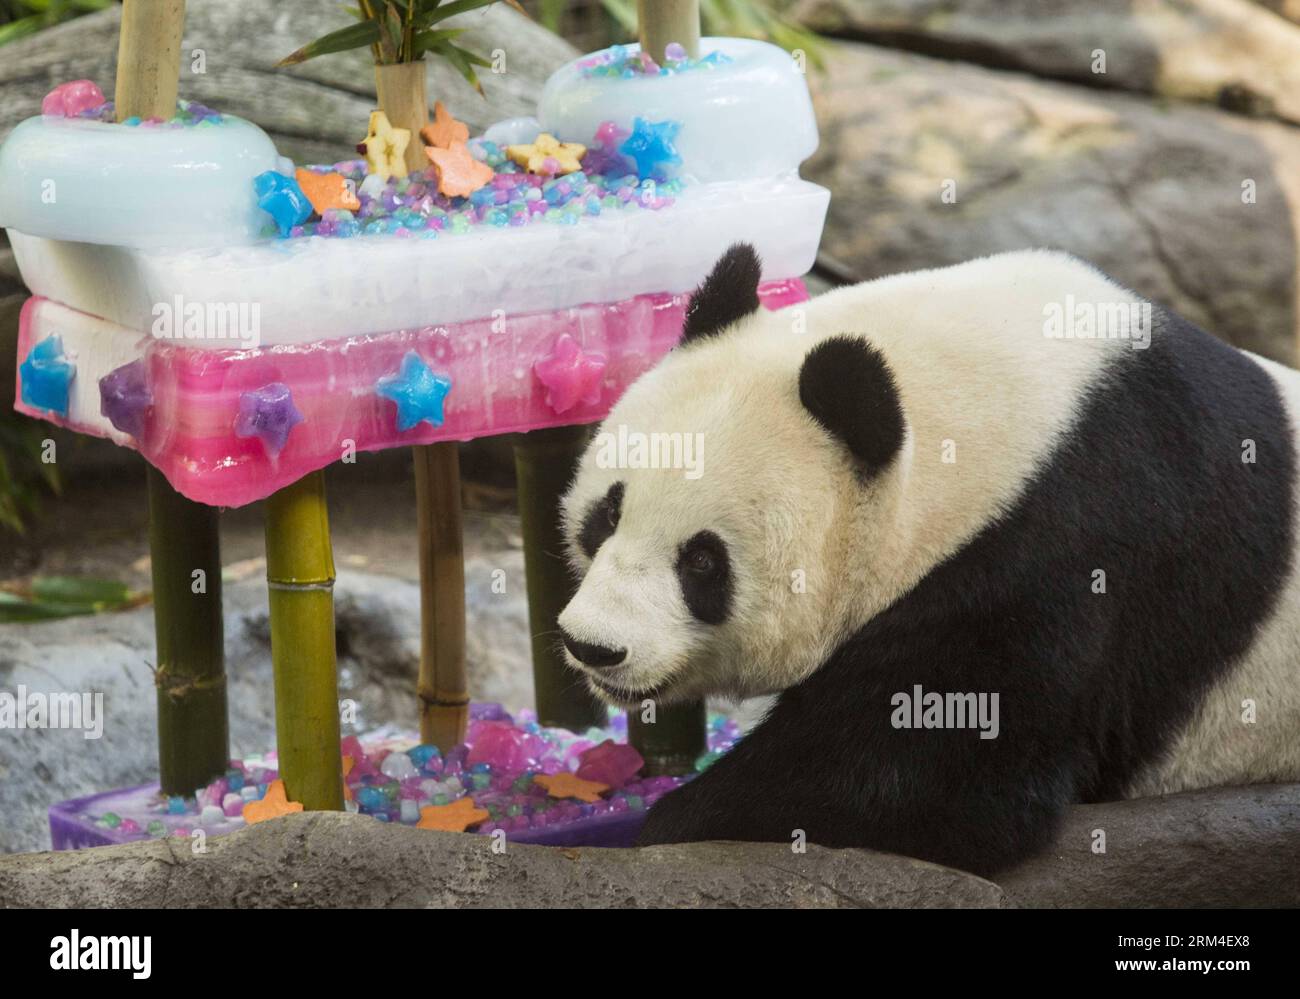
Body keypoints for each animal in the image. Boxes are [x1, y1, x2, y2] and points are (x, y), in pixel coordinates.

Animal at [556, 241, 1300, 874]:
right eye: (608, 514)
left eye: (704, 563)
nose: (594, 645)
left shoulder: (1058, 553)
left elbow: (932, 777)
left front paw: (674, 823)